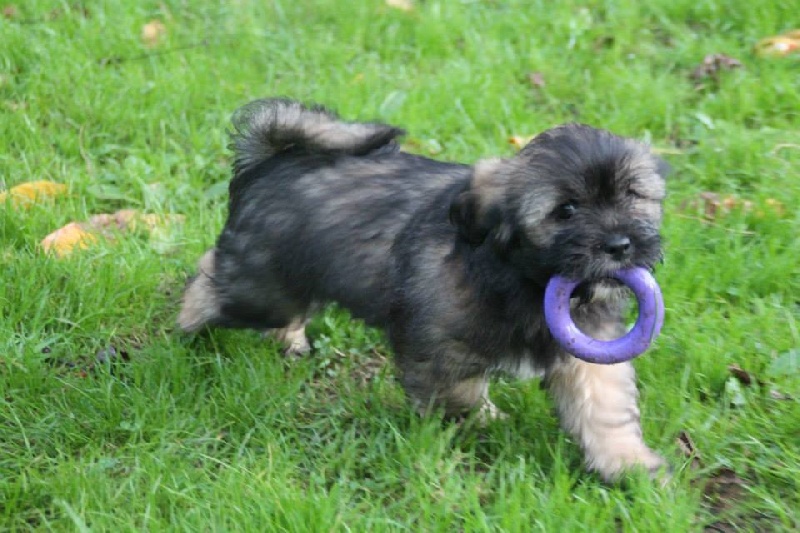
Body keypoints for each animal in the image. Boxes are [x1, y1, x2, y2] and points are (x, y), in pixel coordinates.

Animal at [179, 98, 670, 481]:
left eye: (631, 195)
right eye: (566, 210)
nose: (620, 245)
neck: (522, 276)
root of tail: (270, 161)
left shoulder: (589, 349)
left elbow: (605, 406)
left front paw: (629, 465)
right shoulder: (437, 344)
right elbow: (460, 393)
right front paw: (487, 422)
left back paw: (289, 339)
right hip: (260, 286)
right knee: (211, 277)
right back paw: (186, 323)